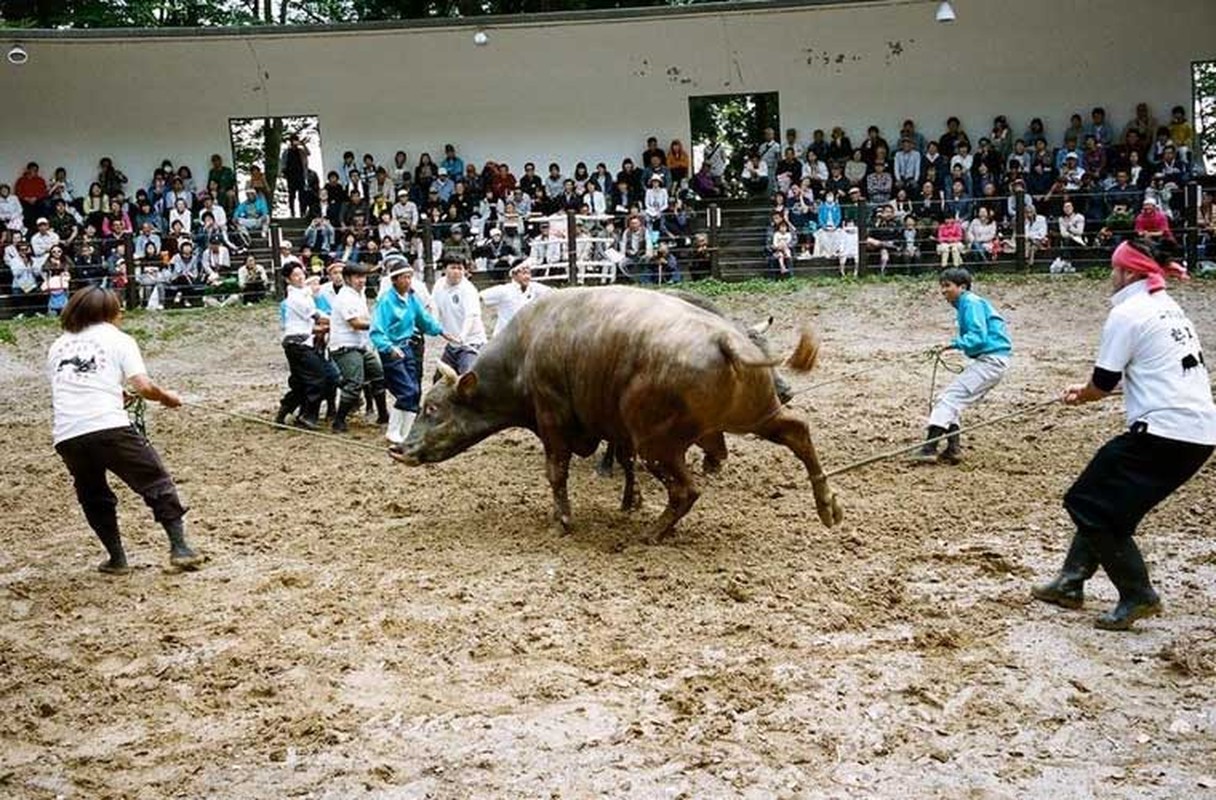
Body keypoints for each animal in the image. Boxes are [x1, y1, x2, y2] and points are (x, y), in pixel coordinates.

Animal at [393, 283, 841, 539]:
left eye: (432, 407)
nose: (399, 450)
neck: (526, 351)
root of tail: (724, 340)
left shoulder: (553, 421)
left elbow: (556, 472)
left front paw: (563, 521)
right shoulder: (614, 425)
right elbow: (623, 460)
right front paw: (629, 500)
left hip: (659, 444)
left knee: (686, 490)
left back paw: (653, 533)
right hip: (753, 417)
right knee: (798, 432)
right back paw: (827, 504)